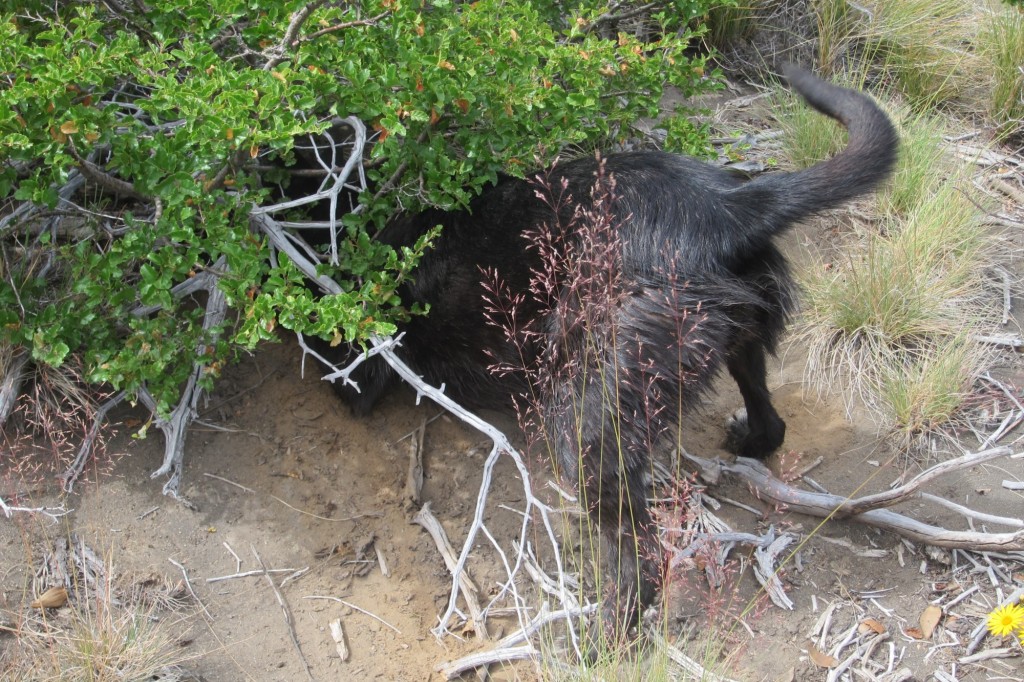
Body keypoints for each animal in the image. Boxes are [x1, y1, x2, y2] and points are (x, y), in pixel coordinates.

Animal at [325, 66, 897, 634]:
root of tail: (725, 209)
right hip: (738, 339)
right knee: (768, 414)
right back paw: (751, 441)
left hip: (584, 418)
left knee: (644, 554)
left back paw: (609, 626)